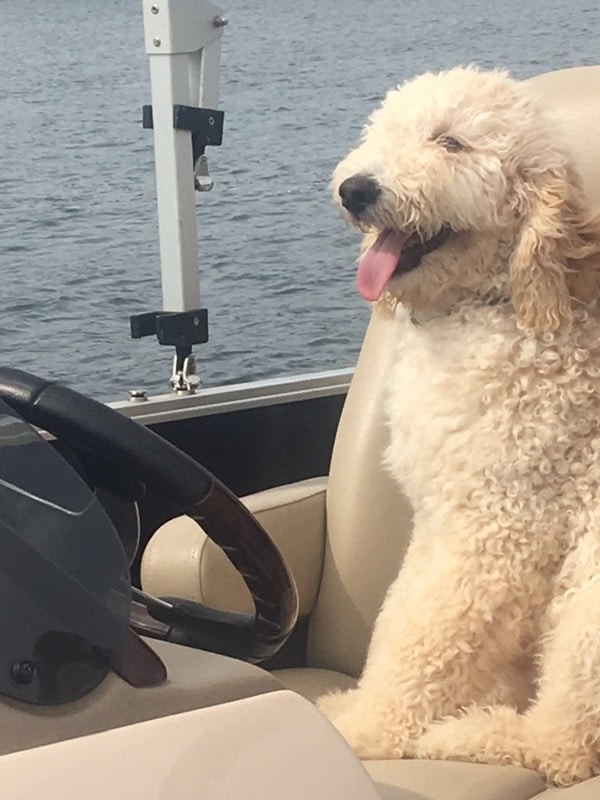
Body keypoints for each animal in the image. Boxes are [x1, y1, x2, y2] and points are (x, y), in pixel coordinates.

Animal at [318, 64, 600, 788]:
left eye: (450, 142)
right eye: (383, 131)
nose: (356, 188)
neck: (488, 307)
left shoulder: (498, 534)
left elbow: (426, 644)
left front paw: (366, 732)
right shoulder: (437, 518)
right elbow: (397, 622)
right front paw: (359, 705)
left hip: (587, 610)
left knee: (563, 747)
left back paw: (469, 734)